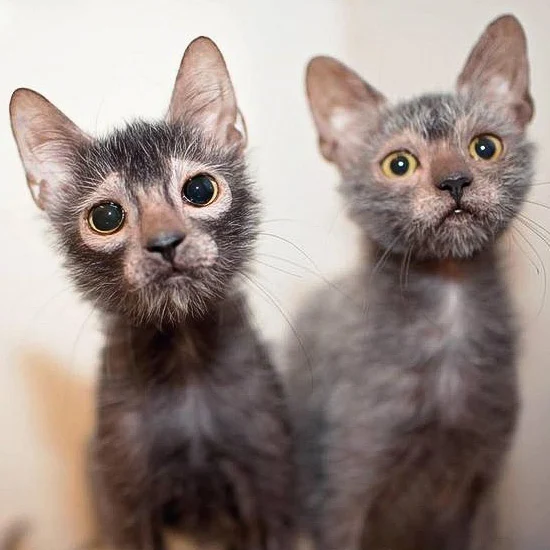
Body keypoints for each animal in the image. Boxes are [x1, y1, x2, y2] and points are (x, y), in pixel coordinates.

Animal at [9, 36, 298, 548]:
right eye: (106, 217)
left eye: (200, 189)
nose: (165, 243)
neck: (184, 364)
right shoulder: (125, 495)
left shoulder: (270, 475)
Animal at [286, 12, 536, 550]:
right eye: (398, 164)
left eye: (485, 147)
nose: (455, 181)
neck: (450, 306)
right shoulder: (340, 492)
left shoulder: (483, 486)